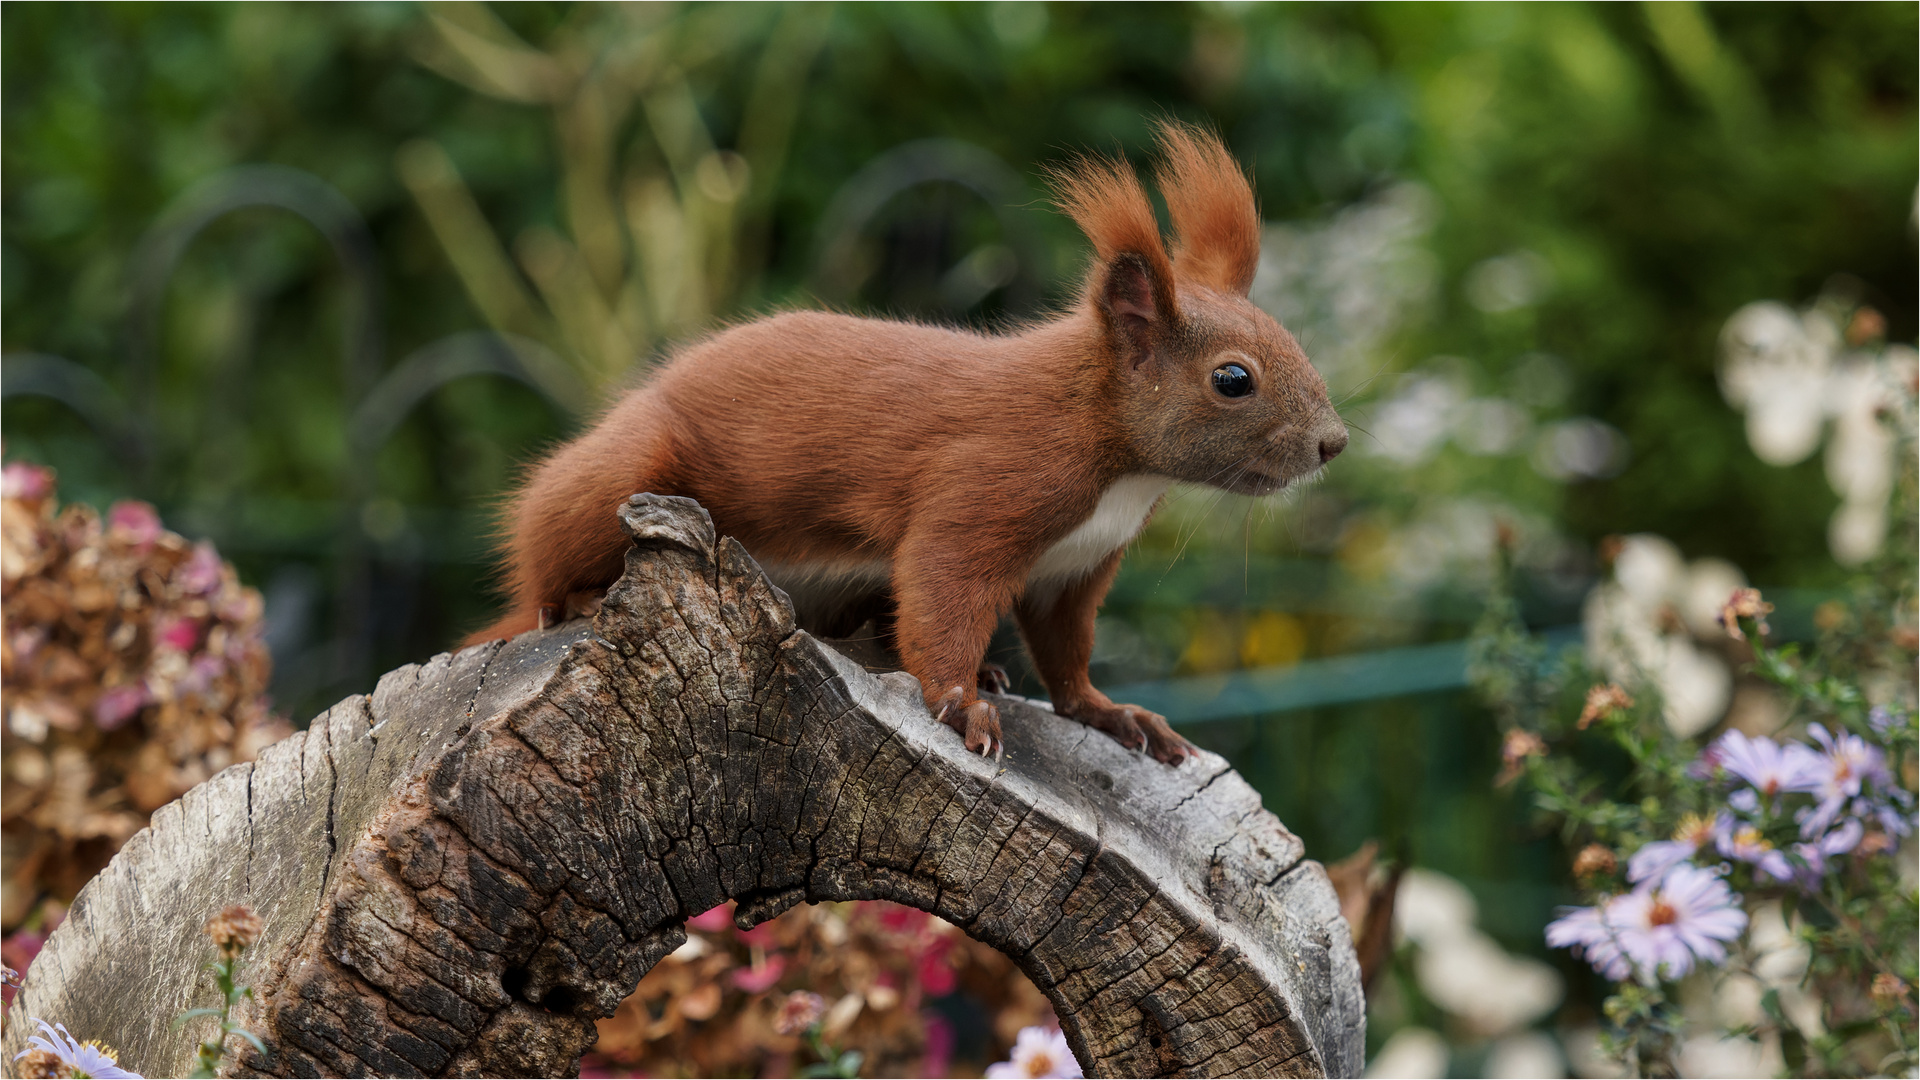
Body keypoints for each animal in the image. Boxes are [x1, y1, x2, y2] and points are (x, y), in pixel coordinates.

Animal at [468, 122, 1351, 764]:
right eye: (1232, 379)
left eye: (1288, 338)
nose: (1333, 444)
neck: (1109, 451)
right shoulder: (985, 490)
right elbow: (944, 591)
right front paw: (961, 704)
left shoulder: (1074, 569)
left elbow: (1066, 653)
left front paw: (1110, 713)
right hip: (620, 473)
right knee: (546, 571)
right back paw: (573, 600)